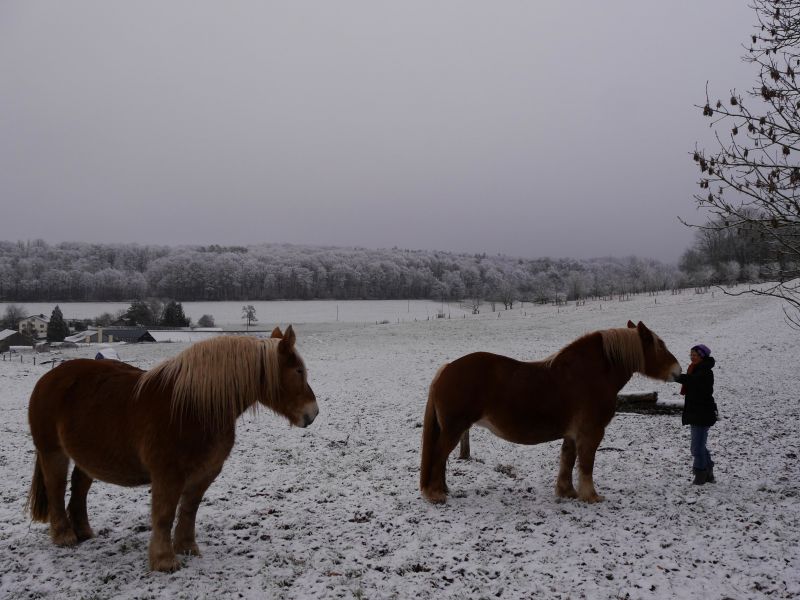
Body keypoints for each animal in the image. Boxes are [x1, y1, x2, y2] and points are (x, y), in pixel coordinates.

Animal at [27, 326, 316, 568]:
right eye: (299, 372)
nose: (312, 414)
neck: (194, 407)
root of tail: (48, 378)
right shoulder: (168, 475)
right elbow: (164, 514)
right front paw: (164, 560)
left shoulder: (205, 473)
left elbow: (189, 510)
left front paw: (187, 548)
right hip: (53, 453)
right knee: (56, 489)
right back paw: (64, 536)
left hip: (87, 457)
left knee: (79, 488)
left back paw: (84, 532)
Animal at [422, 322, 680, 504]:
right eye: (660, 345)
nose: (678, 371)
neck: (591, 374)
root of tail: (446, 369)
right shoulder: (591, 432)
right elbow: (586, 463)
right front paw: (591, 496)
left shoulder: (572, 434)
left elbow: (568, 460)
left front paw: (567, 492)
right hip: (454, 429)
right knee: (438, 456)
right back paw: (435, 494)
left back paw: (442, 490)